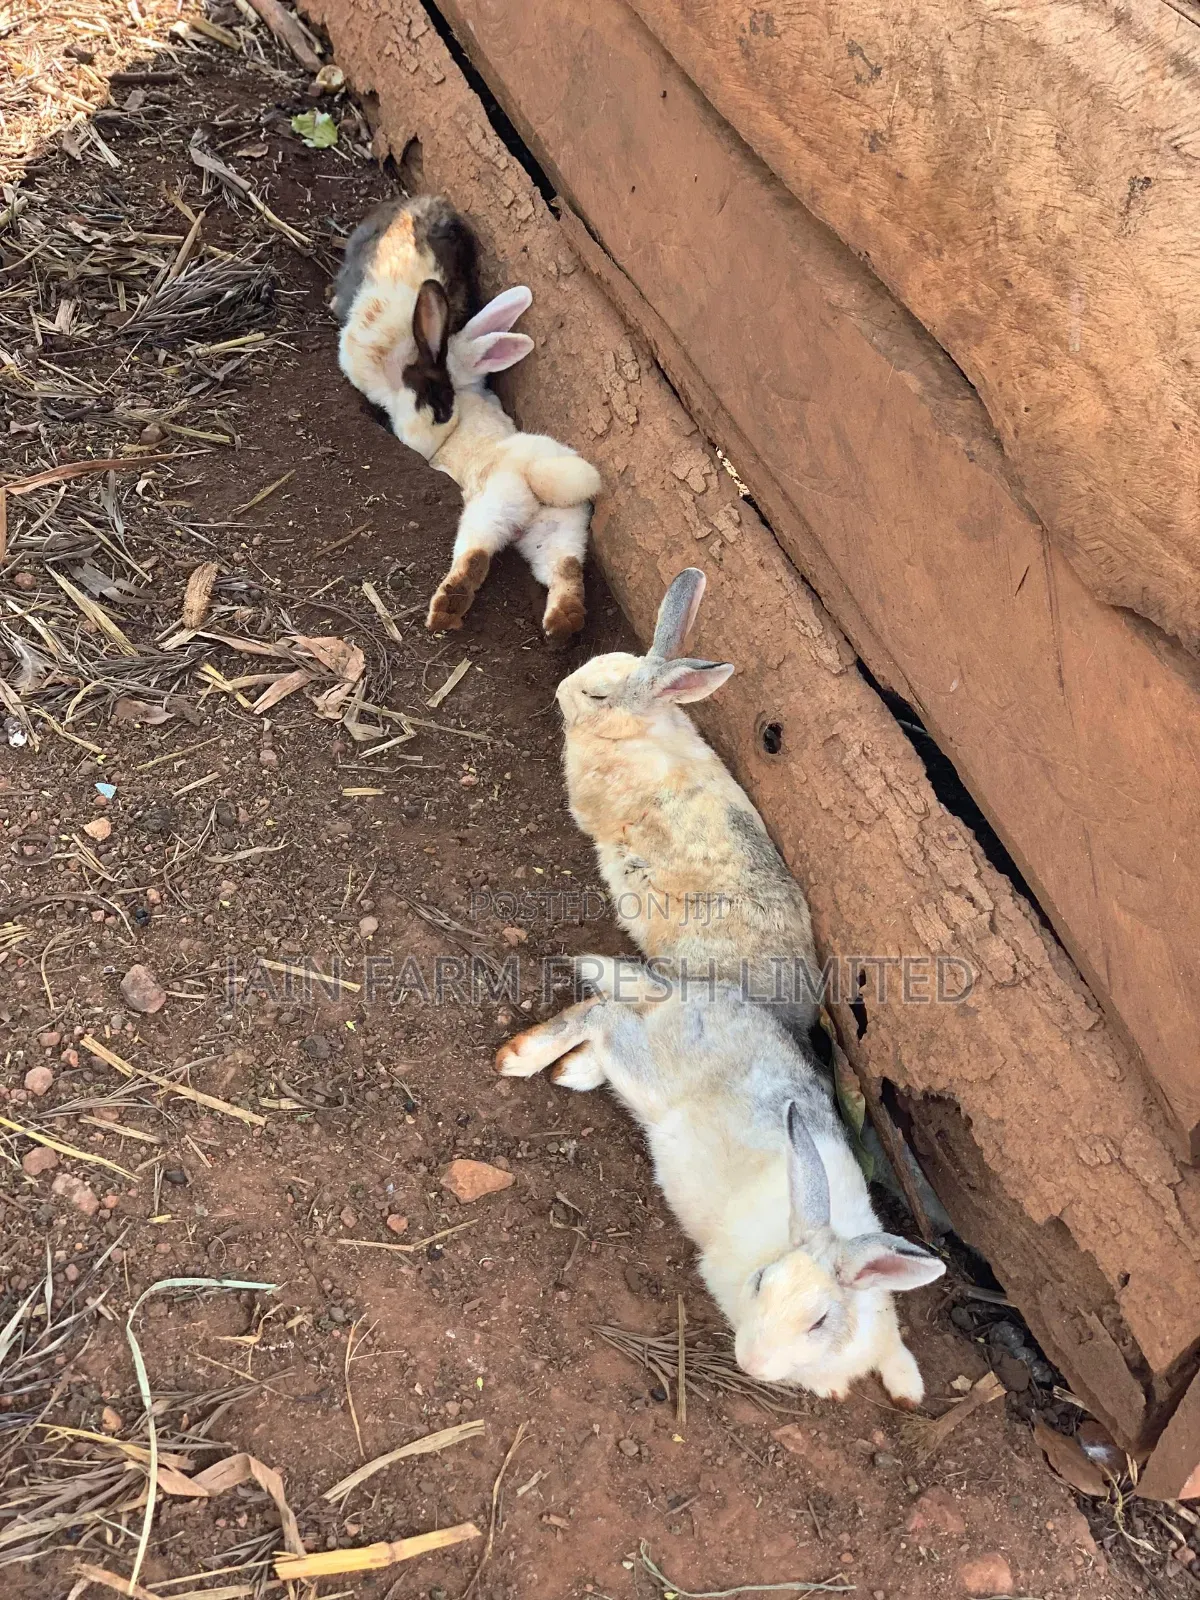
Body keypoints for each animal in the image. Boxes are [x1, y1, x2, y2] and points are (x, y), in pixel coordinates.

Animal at [384, 279, 600, 643]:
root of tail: (529, 471)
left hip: (490, 508)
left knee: (475, 555)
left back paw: (448, 607)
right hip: (558, 529)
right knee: (565, 567)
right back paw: (563, 621)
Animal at [496, 964, 944, 1403]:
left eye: (819, 1322)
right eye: (761, 1281)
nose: (752, 1363)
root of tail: (692, 992)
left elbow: (895, 1349)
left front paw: (909, 1391)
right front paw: (832, 1389)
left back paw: (574, 1070)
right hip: (650, 1077)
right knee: (604, 1014)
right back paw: (519, 1058)